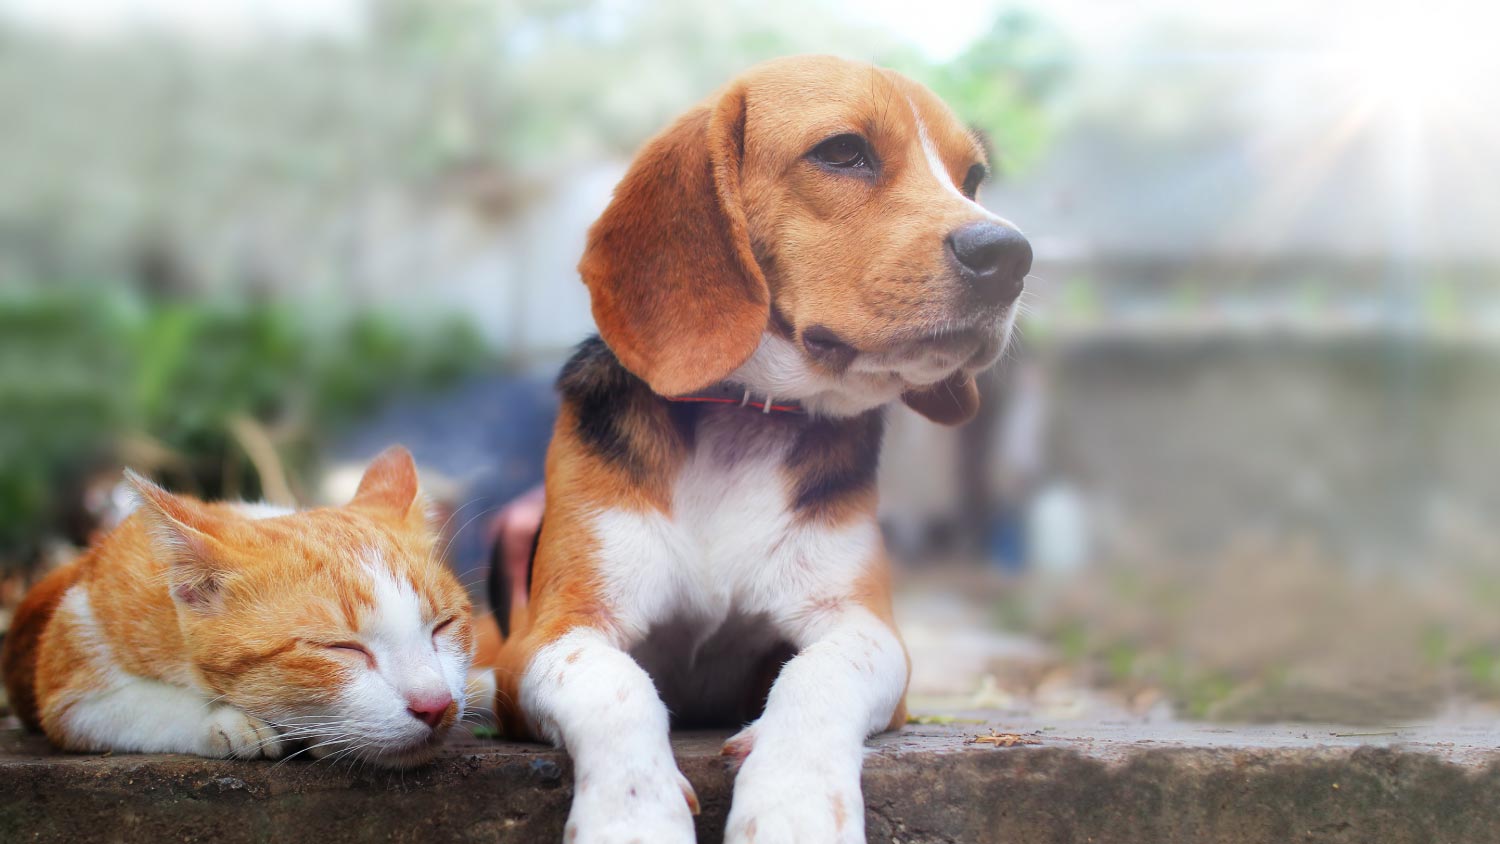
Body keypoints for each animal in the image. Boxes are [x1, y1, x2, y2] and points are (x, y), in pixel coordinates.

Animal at [0, 446, 477, 767]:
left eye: (444, 626)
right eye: (341, 648)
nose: (436, 705)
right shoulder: (68, 677)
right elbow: (136, 706)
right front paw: (231, 723)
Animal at [492, 56, 1032, 839]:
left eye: (974, 178)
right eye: (843, 151)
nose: (1012, 255)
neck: (743, 417)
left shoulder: (866, 627)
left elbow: (818, 676)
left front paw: (793, 804)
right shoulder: (547, 637)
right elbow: (615, 685)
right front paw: (633, 816)